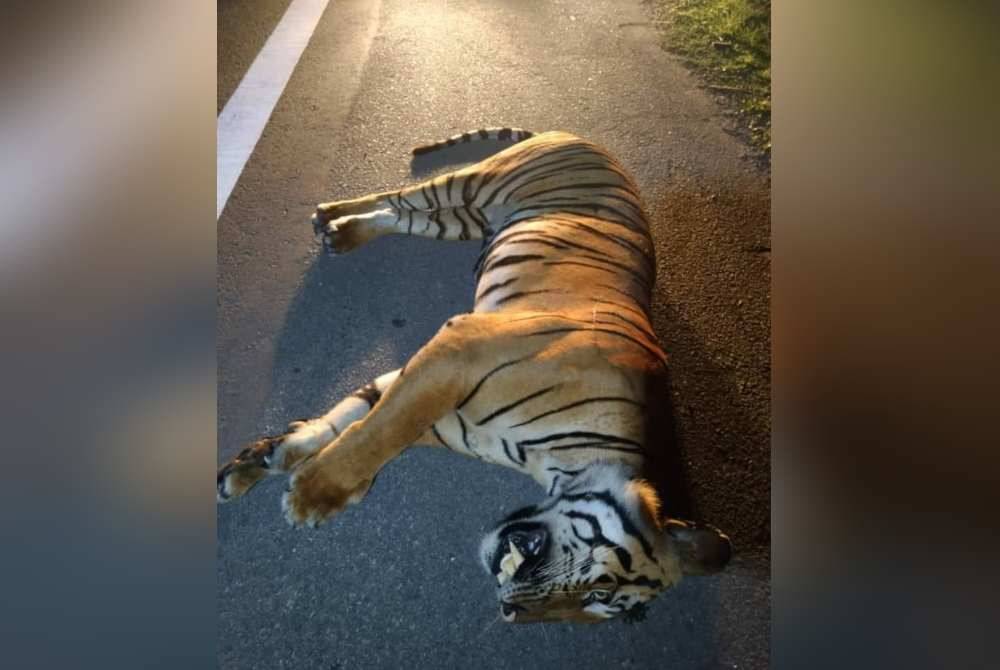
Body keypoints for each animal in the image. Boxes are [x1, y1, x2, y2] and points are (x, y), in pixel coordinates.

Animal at [219, 127, 732, 624]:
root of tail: (588, 139)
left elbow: (357, 420)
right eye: (600, 590)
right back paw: (330, 214)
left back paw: (342, 232)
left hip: (464, 219)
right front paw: (310, 494)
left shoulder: (445, 405)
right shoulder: (459, 350)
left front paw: (269, 462)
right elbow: (378, 431)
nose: (512, 611)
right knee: (401, 194)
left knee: (402, 214)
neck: (558, 462)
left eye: (605, 611)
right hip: (477, 183)